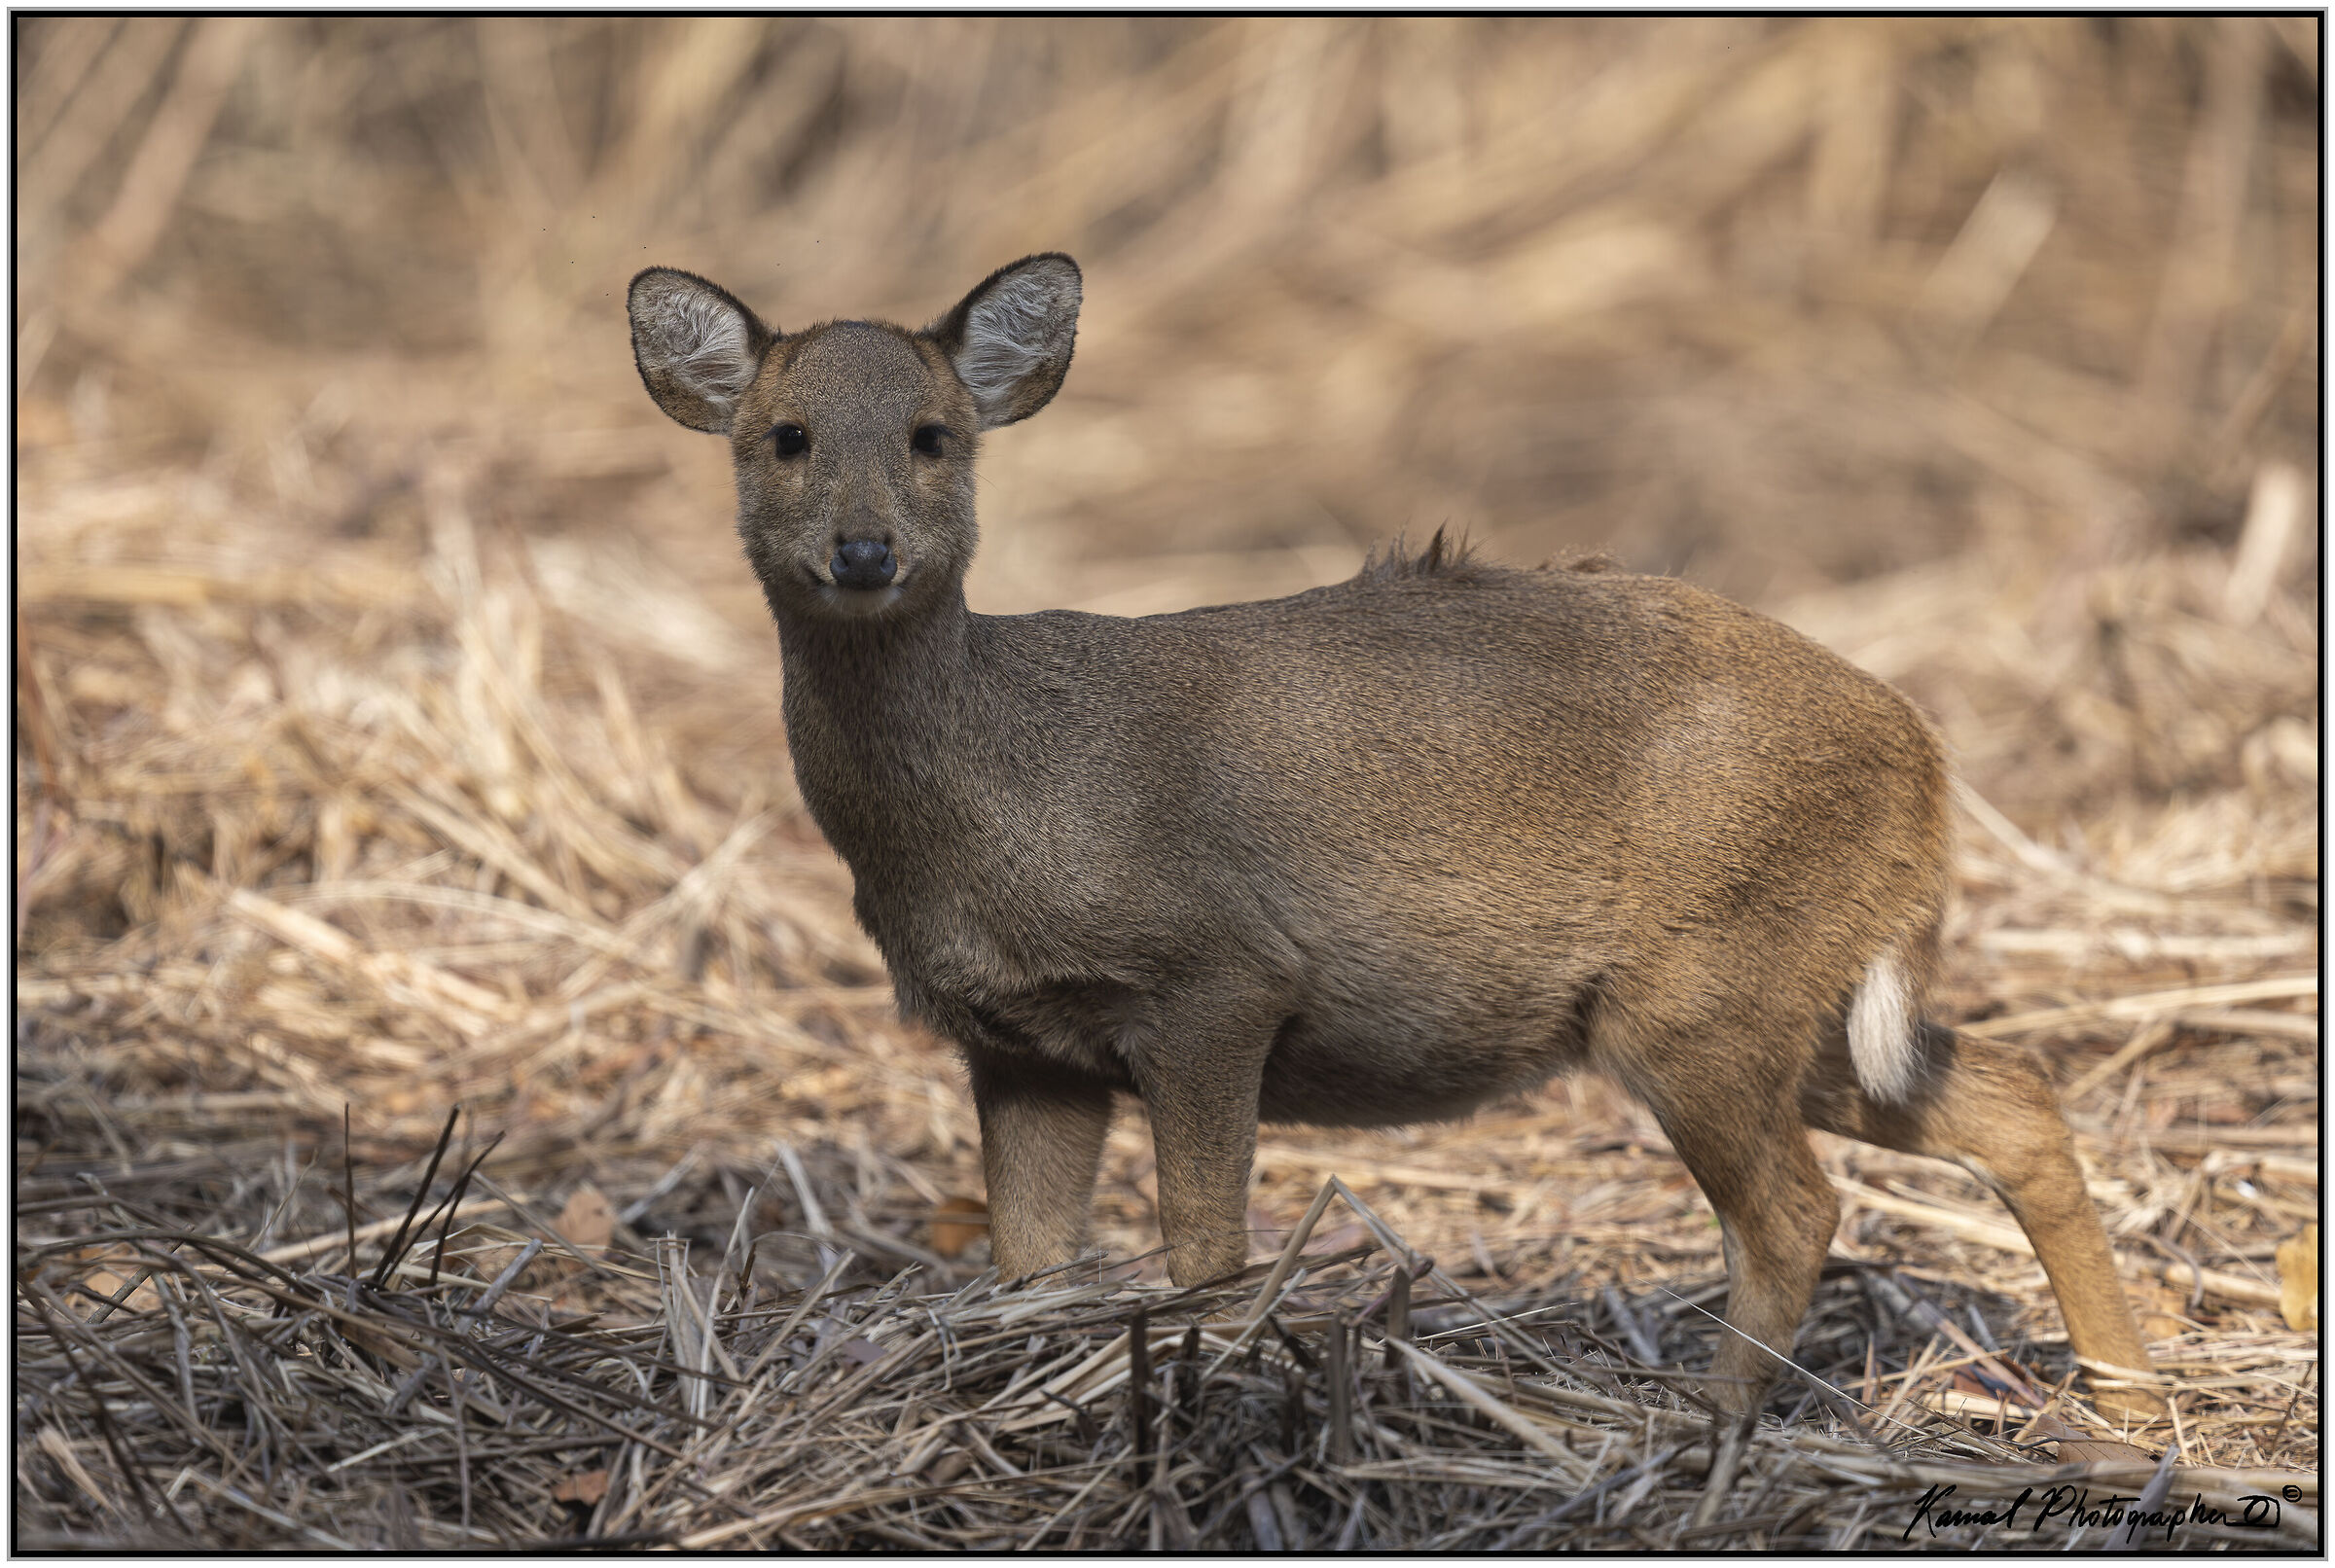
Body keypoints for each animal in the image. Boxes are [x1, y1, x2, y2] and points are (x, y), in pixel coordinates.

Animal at [625, 252, 2165, 1422]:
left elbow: (1206, 1248)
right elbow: (1030, 1264)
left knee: (1797, 1210)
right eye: (785, 438)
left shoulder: (1216, 978)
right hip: (1800, 995)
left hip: (1705, 992)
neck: (988, 801)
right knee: (2016, 1102)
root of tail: (1925, 757)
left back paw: (1700, 1429)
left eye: (933, 436)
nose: (864, 551)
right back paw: (2129, 1408)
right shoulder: (1017, 1046)